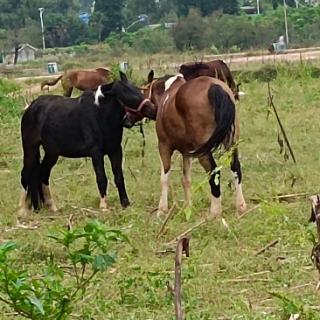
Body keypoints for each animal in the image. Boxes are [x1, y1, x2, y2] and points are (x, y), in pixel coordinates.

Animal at [19, 71, 157, 214]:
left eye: (138, 91)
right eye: (127, 96)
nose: (153, 109)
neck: (100, 114)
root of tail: (31, 107)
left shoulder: (115, 150)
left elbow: (119, 177)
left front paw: (125, 204)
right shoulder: (96, 153)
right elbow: (101, 178)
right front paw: (103, 206)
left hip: (52, 153)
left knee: (42, 174)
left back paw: (51, 207)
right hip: (30, 148)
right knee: (26, 174)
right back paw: (23, 210)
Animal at [144, 70, 246, 218]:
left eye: (143, 91)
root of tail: (215, 87)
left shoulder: (164, 146)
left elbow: (164, 178)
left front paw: (162, 210)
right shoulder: (187, 152)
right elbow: (186, 179)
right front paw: (188, 208)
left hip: (203, 152)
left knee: (214, 172)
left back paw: (214, 213)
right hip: (231, 145)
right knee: (235, 168)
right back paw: (241, 206)